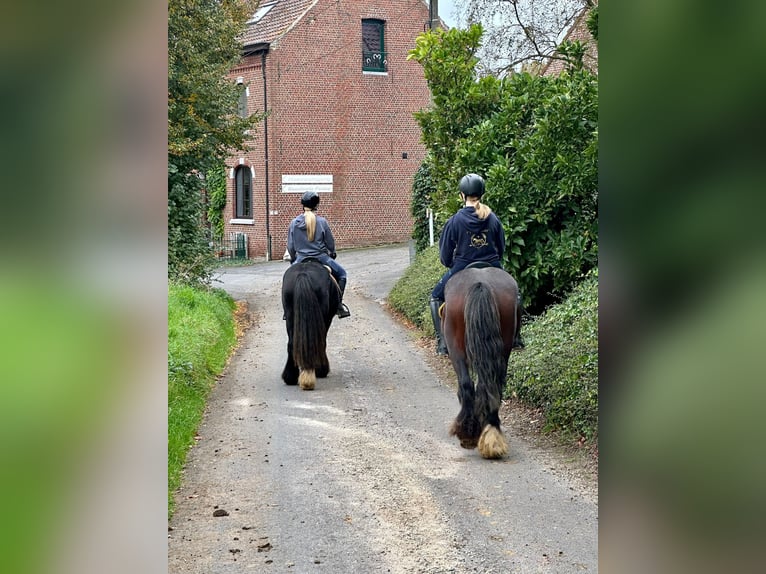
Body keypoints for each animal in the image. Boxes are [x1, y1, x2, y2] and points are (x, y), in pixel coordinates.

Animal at [280, 260, 340, 392]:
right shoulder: (327, 318)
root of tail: (303, 274)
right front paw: (322, 370)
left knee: (291, 344)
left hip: (290, 316)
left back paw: (291, 377)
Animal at [440, 268, 524, 462]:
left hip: (455, 346)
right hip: (504, 347)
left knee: (466, 385)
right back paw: (491, 434)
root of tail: (480, 283)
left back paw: (468, 432)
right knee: (493, 386)